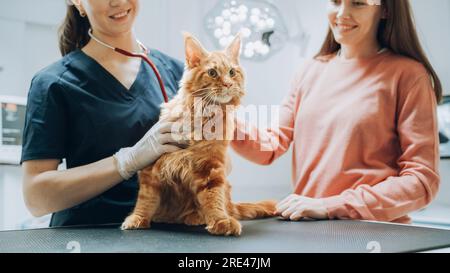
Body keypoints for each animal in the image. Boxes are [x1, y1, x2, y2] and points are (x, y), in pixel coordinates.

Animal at [119, 33, 276, 235]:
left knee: (221, 205)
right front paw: (137, 219)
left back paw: (195, 217)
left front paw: (220, 221)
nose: (228, 83)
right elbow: (145, 200)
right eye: (212, 73)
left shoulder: (211, 167)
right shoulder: (151, 168)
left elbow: (213, 197)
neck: (202, 118)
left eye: (232, 72)